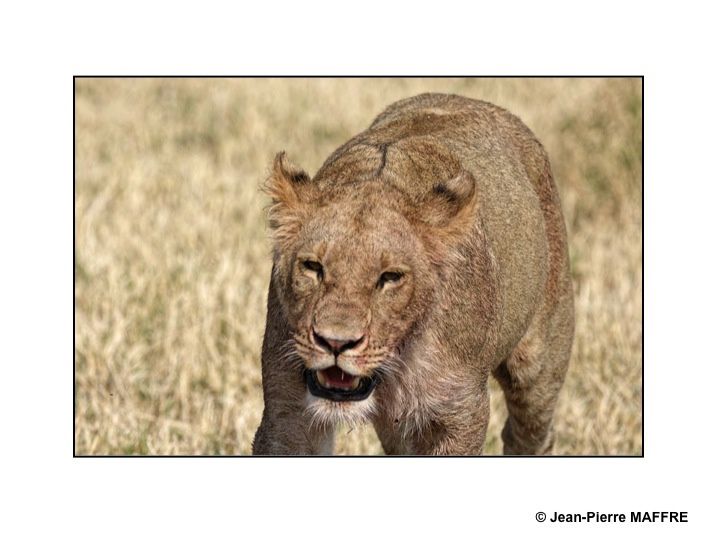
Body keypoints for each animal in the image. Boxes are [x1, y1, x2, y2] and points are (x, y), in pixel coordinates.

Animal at [253, 93, 572, 456]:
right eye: (313, 267)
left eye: (390, 278)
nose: (335, 342)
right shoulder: (286, 410)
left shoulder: (458, 412)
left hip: (541, 362)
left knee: (530, 428)